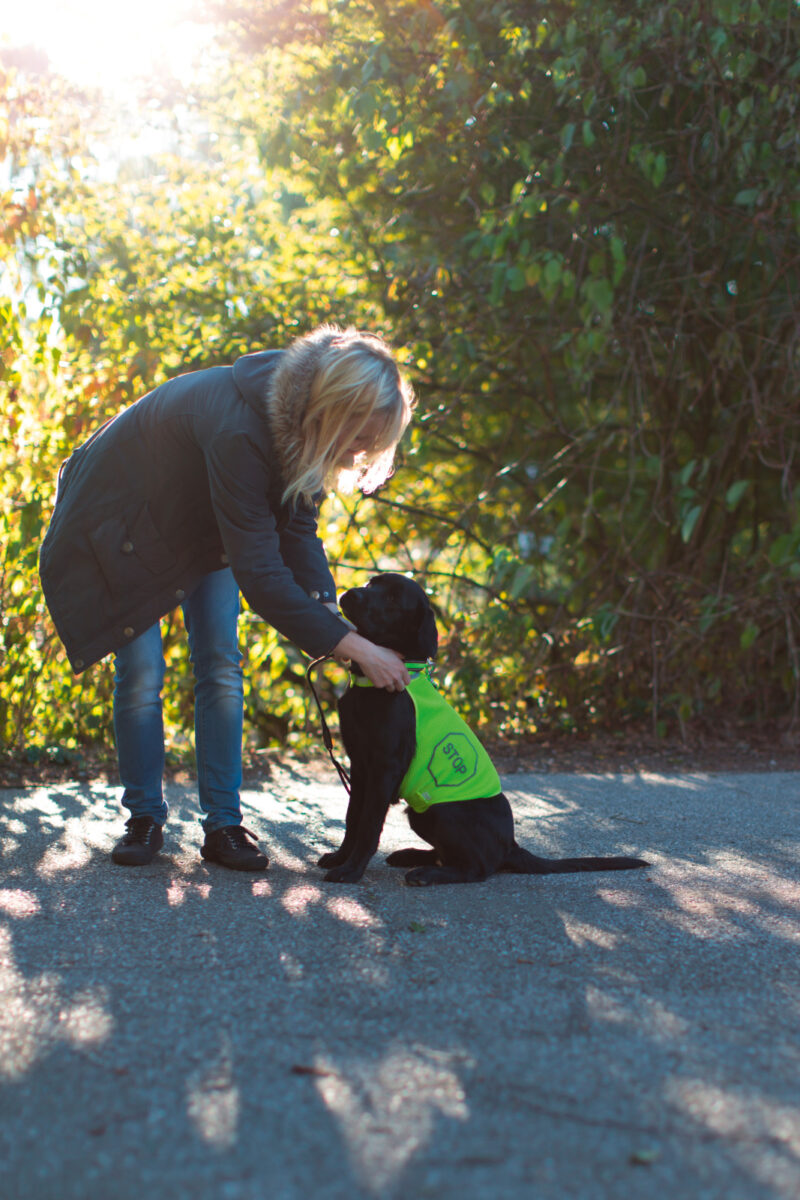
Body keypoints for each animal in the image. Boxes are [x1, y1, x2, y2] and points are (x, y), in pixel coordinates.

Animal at [319, 576, 652, 888]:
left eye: (391, 599)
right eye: (371, 583)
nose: (350, 593)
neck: (371, 683)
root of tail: (511, 846)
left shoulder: (384, 769)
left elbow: (368, 825)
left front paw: (351, 871)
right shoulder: (360, 765)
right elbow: (352, 817)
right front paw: (340, 858)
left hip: (443, 812)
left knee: (478, 868)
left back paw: (426, 874)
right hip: (421, 813)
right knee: (452, 856)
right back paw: (411, 856)